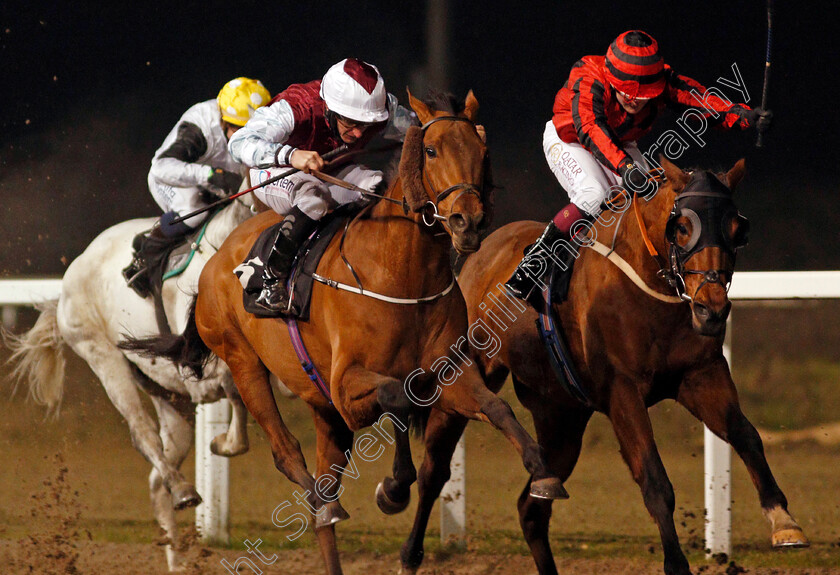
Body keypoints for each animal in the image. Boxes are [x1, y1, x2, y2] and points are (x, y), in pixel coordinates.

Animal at [3, 194, 256, 572]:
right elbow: (231, 384)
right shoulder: (199, 369)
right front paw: (224, 442)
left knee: (157, 478)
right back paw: (184, 491)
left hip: (167, 395)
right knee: (143, 434)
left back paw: (177, 554)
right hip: (103, 357)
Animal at [128, 92, 564, 572]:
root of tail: (217, 258)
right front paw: (394, 487)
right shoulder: (346, 387)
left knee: (323, 498)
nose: (467, 221)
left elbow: (494, 407)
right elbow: (398, 395)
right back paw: (323, 501)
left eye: (483, 152)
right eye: (431, 151)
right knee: (288, 455)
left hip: (321, 405)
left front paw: (543, 472)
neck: (401, 275)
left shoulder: (447, 373)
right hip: (245, 363)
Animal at [394, 158, 808, 575]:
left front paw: (785, 523)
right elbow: (654, 481)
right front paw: (676, 563)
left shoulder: (701, 374)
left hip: (562, 418)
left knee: (532, 508)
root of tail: (479, 255)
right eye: (682, 227)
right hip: (467, 378)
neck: (651, 289)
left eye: (738, 230)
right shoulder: (622, 392)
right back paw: (409, 552)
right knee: (434, 473)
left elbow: (746, 435)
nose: (712, 310)